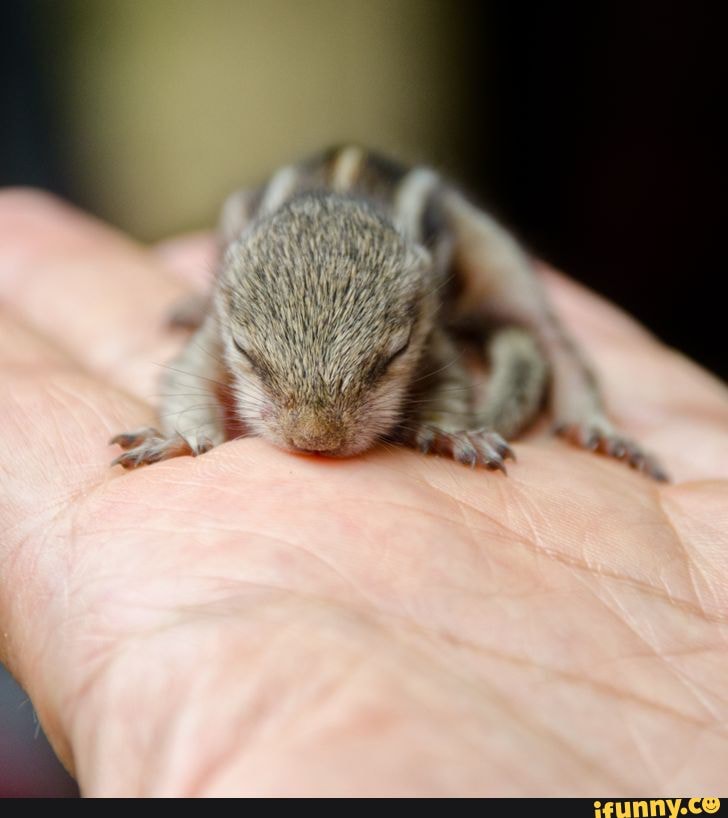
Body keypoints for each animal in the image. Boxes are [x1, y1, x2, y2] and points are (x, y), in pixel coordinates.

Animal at [112, 146, 664, 478]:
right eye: (247, 355)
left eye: (391, 356)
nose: (316, 441)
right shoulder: (216, 332)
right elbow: (186, 377)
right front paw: (181, 438)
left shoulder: (431, 333)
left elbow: (451, 385)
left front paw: (448, 432)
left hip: (494, 251)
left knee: (554, 342)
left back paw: (595, 427)